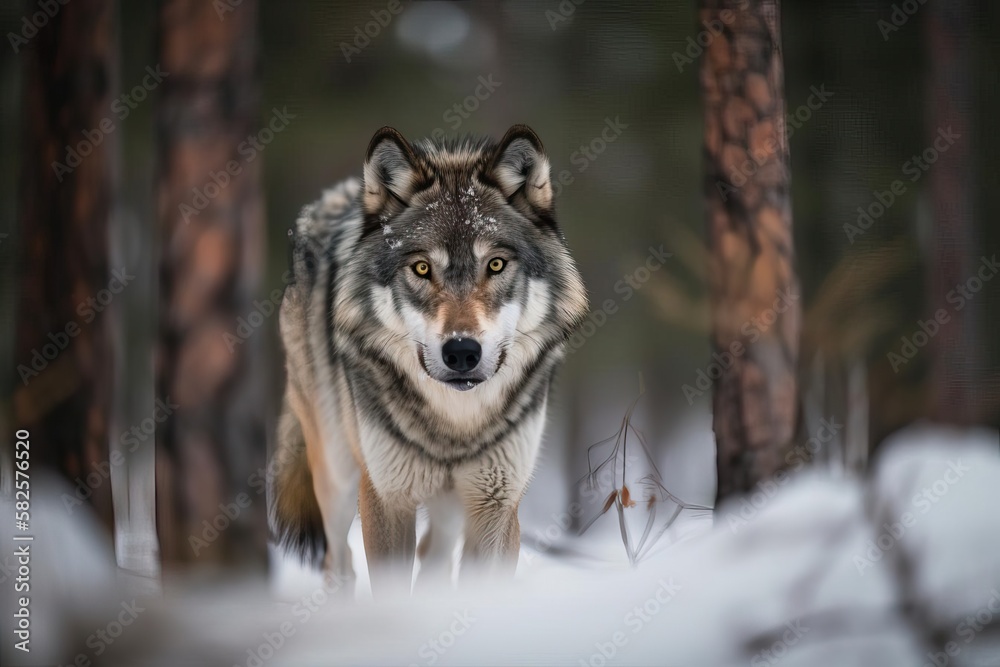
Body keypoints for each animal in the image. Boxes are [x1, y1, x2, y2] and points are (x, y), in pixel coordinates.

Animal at [270, 125, 588, 596]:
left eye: (496, 264)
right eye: (421, 268)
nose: (461, 352)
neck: (455, 425)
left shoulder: (496, 504)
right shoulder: (386, 499)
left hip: (450, 505)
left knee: (433, 557)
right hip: (337, 473)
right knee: (337, 560)